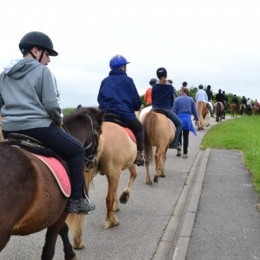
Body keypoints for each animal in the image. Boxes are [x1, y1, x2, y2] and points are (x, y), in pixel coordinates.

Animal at [0, 106, 103, 258]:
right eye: (99, 132)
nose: (93, 161)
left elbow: (63, 230)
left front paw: (70, 252)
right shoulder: (61, 213)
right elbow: (49, 248)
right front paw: (69, 254)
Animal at [65, 119, 138, 249]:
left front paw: (116, 205)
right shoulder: (127, 166)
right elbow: (134, 175)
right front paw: (124, 197)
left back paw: (78, 240)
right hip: (114, 172)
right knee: (109, 198)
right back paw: (111, 221)